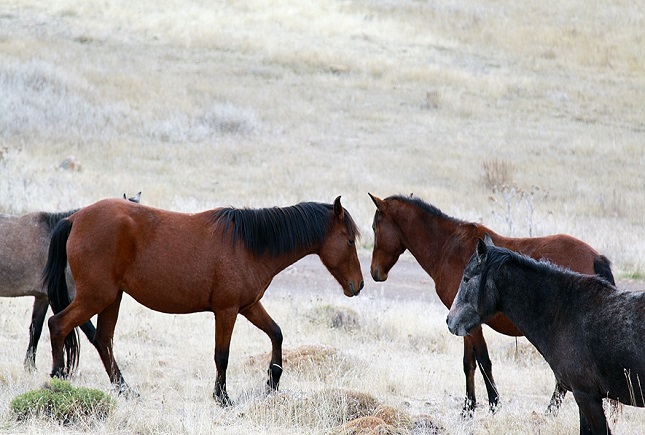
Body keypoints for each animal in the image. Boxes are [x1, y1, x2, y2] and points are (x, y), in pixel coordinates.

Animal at [43, 198, 364, 406]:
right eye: (350, 240)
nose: (358, 285)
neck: (249, 245)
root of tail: (74, 219)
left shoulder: (248, 307)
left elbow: (276, 333)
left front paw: (272, 382)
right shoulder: (226, 311)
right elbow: (222, 355)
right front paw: (222, 397)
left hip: (111, 298)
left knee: (103, 340)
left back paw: (125, 390)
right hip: (97, 296)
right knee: (58, 324)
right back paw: (57, 380)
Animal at [368, 194, 612, 416]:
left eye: (374, 228)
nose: (375, 272)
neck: (448, 246)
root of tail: (595, 257)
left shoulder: (472, 324)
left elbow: (483, 361)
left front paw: (493, 405)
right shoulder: (463, 323)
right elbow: (469, 363)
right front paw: (468, 408)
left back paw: (549, 412)